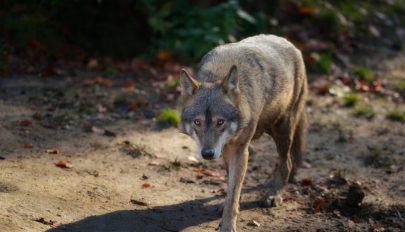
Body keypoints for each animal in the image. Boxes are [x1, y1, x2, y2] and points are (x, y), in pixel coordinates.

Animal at [179, 34, 306, 232]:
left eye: (220, 122)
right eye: (197, 122)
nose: (207, 154)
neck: (217, 74)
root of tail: (291, 44)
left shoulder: (239, 151)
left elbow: (233, 192)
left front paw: (227, 225)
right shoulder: (226, 150)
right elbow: (232, 186)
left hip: (281, 130)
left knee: (287, 162)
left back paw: (274, 195)